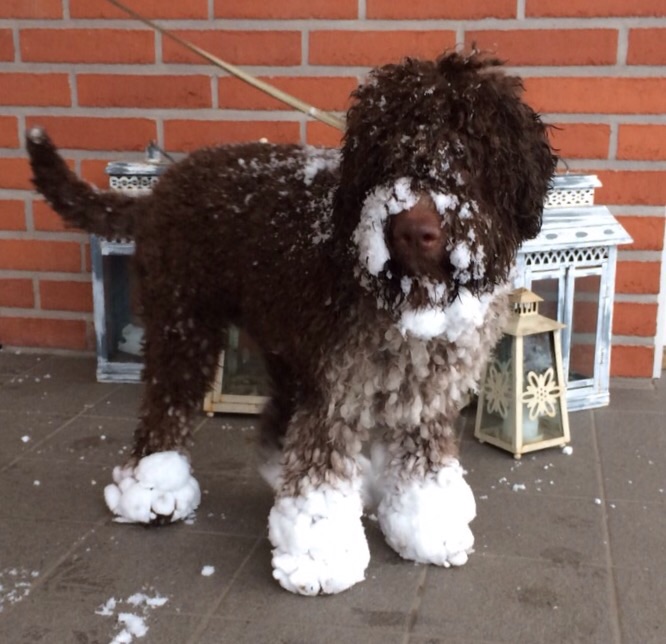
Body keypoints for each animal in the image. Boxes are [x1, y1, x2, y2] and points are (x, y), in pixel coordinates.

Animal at [26, 51, 556, 600]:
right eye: (387, 152)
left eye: (468, 150)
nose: (412, 231)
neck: (408, 302)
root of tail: (161, 189)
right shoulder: (340, 386)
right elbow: (321, 467)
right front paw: (320, 556)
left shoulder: (426, 395)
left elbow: (424, 463)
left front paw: (427, 526)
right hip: (184, 322)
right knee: (166, 407)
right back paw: (153, 490)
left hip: (283, 341)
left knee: (277, 414)